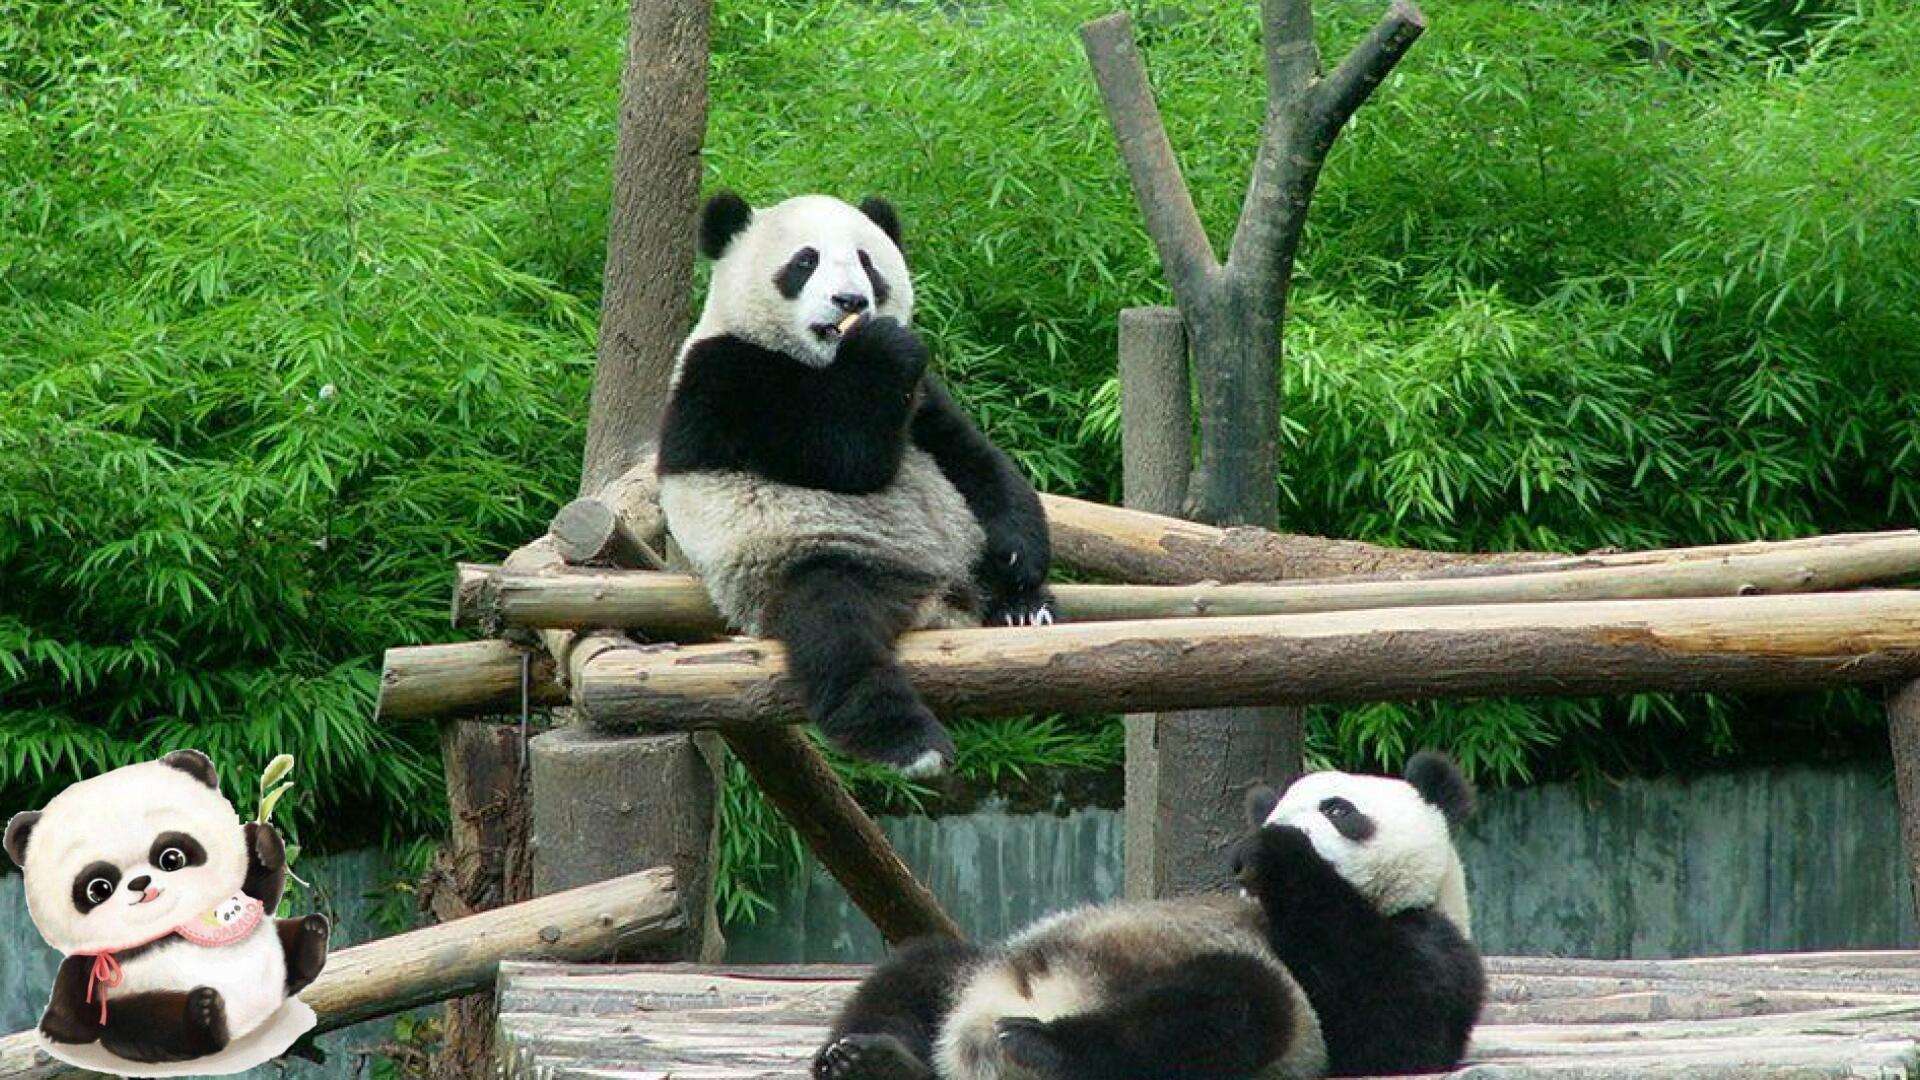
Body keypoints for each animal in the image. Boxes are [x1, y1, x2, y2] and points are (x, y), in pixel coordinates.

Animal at [4, 750, 330, 1070]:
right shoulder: (93, 967)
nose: (141, 883)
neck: (164, 929)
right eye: (98, 888)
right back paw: (203, 1014)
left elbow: (258, 893)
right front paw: (57, 1028)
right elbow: (71, 1015)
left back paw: (310, 937)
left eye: (171, 857)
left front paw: (263, 844)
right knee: (150, 1024)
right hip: (137, 1014)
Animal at [657, 192, 1054, 776]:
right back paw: (911, 744)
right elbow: (845, 454)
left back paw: (1025, 609)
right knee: (838, 640)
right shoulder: (726, 380)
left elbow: (975, 460)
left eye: (868, 263)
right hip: (811, 562)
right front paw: (883, 347)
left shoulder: (925, 399)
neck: (826, 361)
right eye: (805, 261)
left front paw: (1018, 556)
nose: (850, 300)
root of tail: (938, 602)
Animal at [811, 753, 1486, 1080]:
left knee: (1228, 1004)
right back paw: (870, 1060)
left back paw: (1039, 1045)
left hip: (1262, 1019)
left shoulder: (1422, 942)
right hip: (979, 965)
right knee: (919, 968)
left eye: (1339, 809)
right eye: (1277, 807)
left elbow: (1390, 1031)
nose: (1267, 833)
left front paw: (1276, 856)